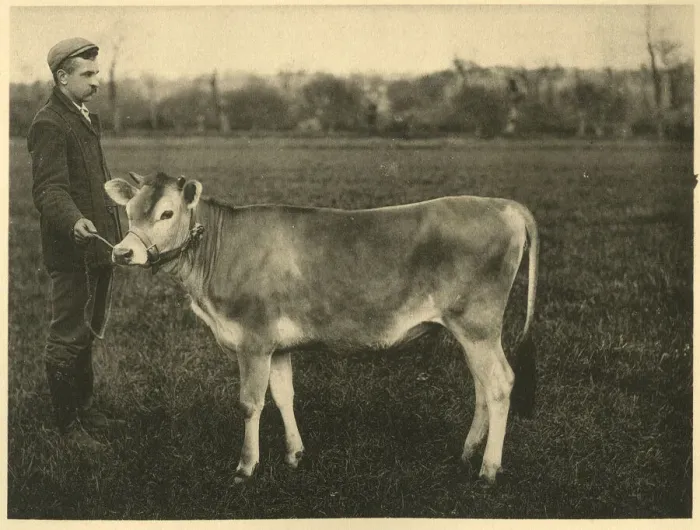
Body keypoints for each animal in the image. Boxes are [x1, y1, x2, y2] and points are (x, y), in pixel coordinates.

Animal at [104, 171, 538, 486]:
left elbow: (250, 403)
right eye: (130, 212)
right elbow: (283, 396)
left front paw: (245, 467)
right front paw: (295, 454)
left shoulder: (253, 339)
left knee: (500, 383)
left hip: (478, 324)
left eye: (166, 214)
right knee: (482, 386)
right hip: (471, 330)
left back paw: (488, 469)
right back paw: (467, 453)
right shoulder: (276, 345)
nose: (123, 252)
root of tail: (504, 205)